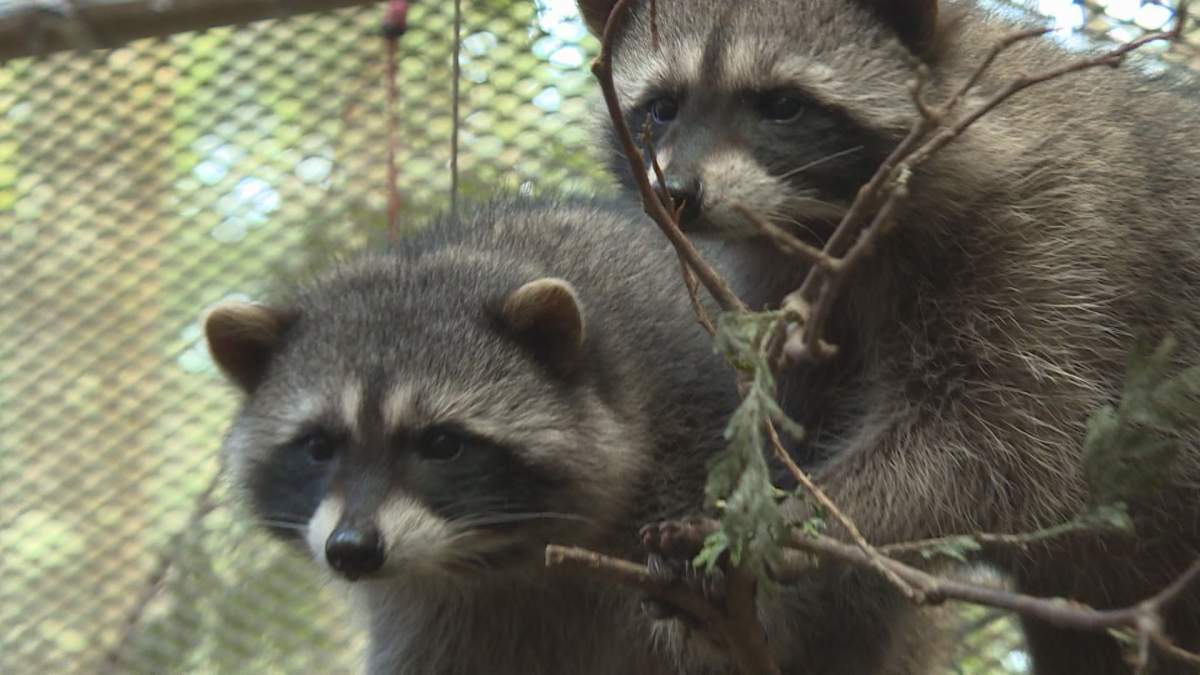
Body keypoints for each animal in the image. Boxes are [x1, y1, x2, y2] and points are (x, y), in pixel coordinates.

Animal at [577, 0, 1200, 672]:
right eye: (662, 107)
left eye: (782, 104)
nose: (676, 195)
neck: (821, 227)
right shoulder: (793, 298)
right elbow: (802, 423)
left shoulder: (1060, 247)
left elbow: (1004, 447)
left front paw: (794, 522)